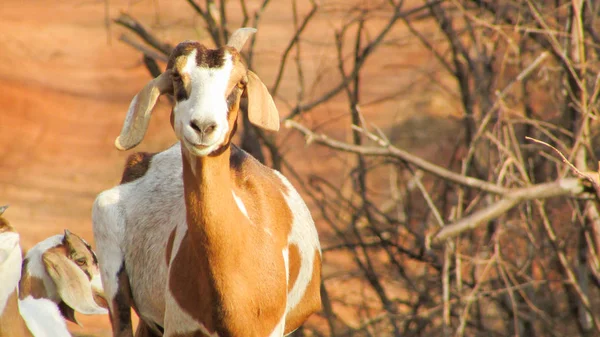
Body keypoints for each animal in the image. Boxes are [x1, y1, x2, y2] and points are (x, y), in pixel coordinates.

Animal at [91, 27, 322, 334]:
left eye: (239, 84)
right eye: (177, 76)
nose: (203, 127)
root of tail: (141, 161)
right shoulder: (179, 328)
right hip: (119, 292)